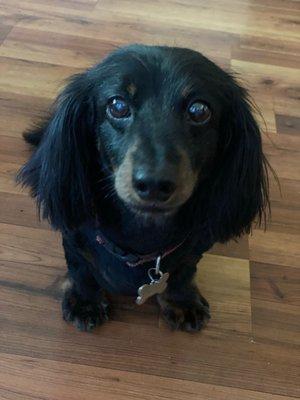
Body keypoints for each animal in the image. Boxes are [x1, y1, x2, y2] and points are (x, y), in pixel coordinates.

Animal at [18, 43, 270, 332]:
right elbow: (81, 271)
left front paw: (181, 301)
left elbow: (184, 273)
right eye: (117, 105)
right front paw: (85, 301)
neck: (143, 235)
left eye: (199, 110)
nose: (154, 184)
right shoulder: (74, 238)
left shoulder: (195, 248)